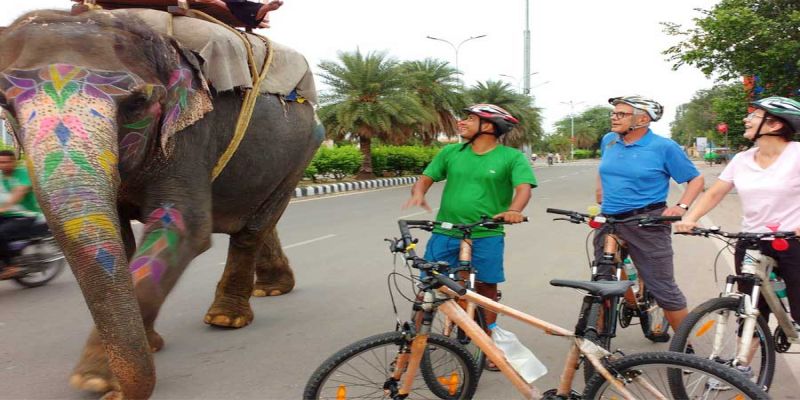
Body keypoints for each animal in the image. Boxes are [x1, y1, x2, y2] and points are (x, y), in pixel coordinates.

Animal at [0, 7, 324, 398]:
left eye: (136, 103)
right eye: (4, 104)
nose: (117, 392)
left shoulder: (190, 135)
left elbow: (184, 228)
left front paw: (93, 378)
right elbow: (123, 243)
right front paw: (144, 349)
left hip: (305, 148)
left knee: (252, 229)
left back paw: (226, 318)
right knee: (254, 221)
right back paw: (272, 289)